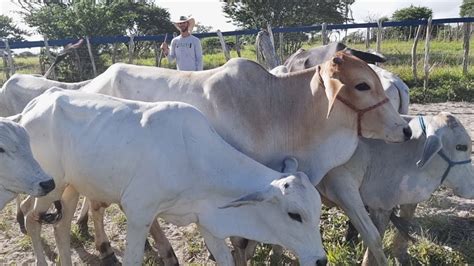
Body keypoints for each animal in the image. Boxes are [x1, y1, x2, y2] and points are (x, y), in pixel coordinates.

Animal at [20, 89, 328, 266]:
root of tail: (36, 103)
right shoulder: (139, 213)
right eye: (295, 215)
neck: (196, 160)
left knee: (61, 228)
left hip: (71, 188)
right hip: (48, 187)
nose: (321, 261)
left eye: (317, 211)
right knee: (32, 219)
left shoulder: (207, 221)